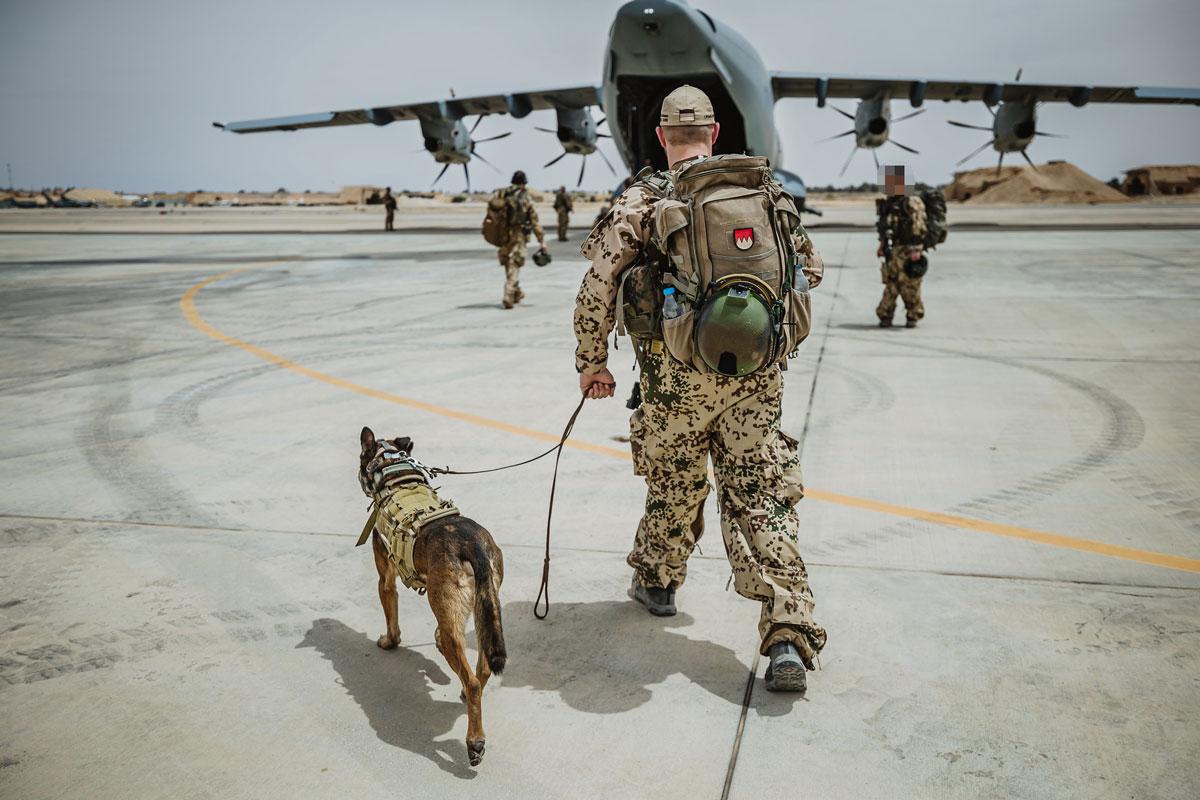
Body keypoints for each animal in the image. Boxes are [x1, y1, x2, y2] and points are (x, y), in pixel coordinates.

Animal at [355, 429, 506, 767]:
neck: (394, 473)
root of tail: (472, 545)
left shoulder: (385, 578)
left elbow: (391, 614)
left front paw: (389, 641)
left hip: (456, 621)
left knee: (472, 680)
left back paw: (475, 741)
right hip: (484, 610)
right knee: (481, 670)